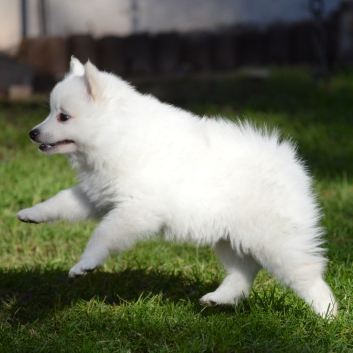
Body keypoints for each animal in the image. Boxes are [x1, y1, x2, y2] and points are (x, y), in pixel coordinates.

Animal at [17, 57, 336, 316]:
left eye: (64, 116)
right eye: (51, 112)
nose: (32, 133)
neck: (118, 134)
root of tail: (291, 164)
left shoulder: (136, 210)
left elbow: (102, 234)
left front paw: (85, 264)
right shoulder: (98, 195)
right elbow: (62, 201)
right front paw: (32, 213)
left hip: (276, 241)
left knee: (307, 273)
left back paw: (327, 314)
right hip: (228, 236)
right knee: (243, 271)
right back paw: (220, 298)